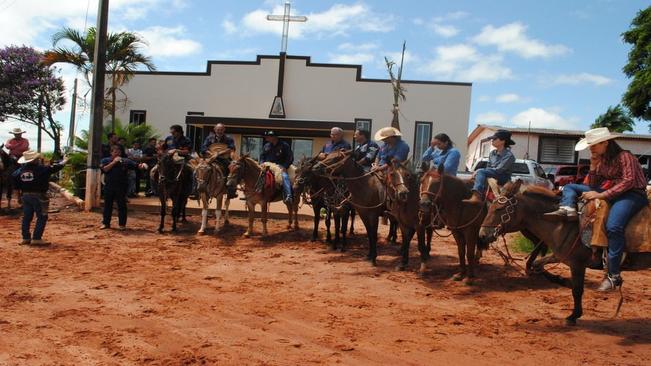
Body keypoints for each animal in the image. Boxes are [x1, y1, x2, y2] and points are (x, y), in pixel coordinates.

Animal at [478, 182, 592, 324]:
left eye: (499, 208)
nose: (482, 235)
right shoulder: (561, 255)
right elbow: (538, 264)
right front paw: (561, 280)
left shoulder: (577, 263)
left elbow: (577, 289)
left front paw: (573, 315)